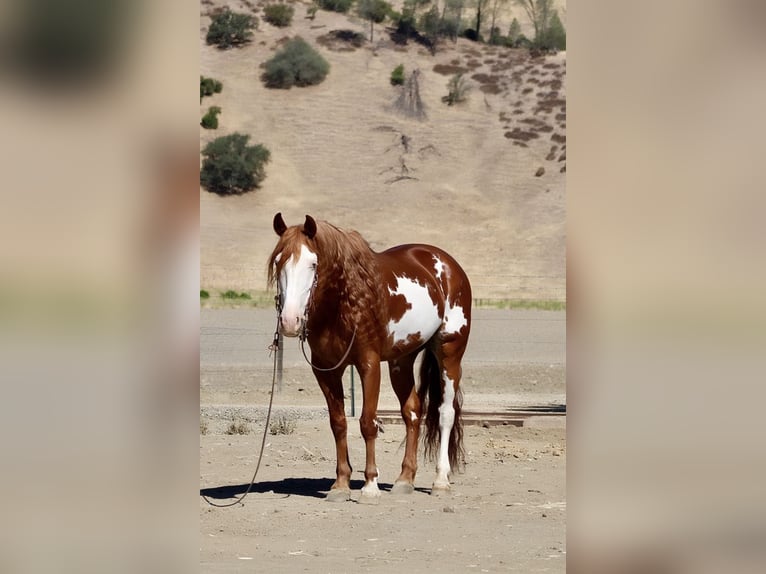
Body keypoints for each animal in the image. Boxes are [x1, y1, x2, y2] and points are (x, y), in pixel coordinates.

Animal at [268, 213, 472, 502]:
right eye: (278, 261)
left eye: (313, 263)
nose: (289, 320)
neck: (344, 304)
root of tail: (446, 263)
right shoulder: (326, 370)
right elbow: (339, 423)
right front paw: (341, 484)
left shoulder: (369, 365)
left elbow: (367, 422)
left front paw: (370, 485)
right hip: (401, 362)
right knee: (412, 412)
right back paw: (405, 479)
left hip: (449, 353)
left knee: (445, 413)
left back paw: (441, 480)